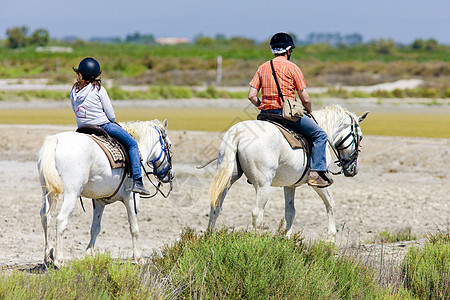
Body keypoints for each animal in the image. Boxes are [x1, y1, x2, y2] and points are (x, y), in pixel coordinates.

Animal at [37, 119, 172, 268]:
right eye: (169, 145)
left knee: (45, 217)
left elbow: (95, 227)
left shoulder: (99, 201)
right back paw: (59, 261)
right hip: (71, 194)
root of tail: (56, 140)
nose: (169, 175)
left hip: (47, 191)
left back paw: (48, 256)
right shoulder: (132, 198)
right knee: (61, 220)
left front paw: (90, 253)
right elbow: (134, 228)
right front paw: (138, 258)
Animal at [209, 105, 368, 239]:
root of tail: (238, 133)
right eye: (359, 136)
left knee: (215, 207)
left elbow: (290, 211)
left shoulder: (290, 185)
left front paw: (287, 239)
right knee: (257, 214)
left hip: (228, 179)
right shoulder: (319, 182)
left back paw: (209, 237)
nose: (353, 170)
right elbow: (330, 203)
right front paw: (331, 238)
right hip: (263, 185)